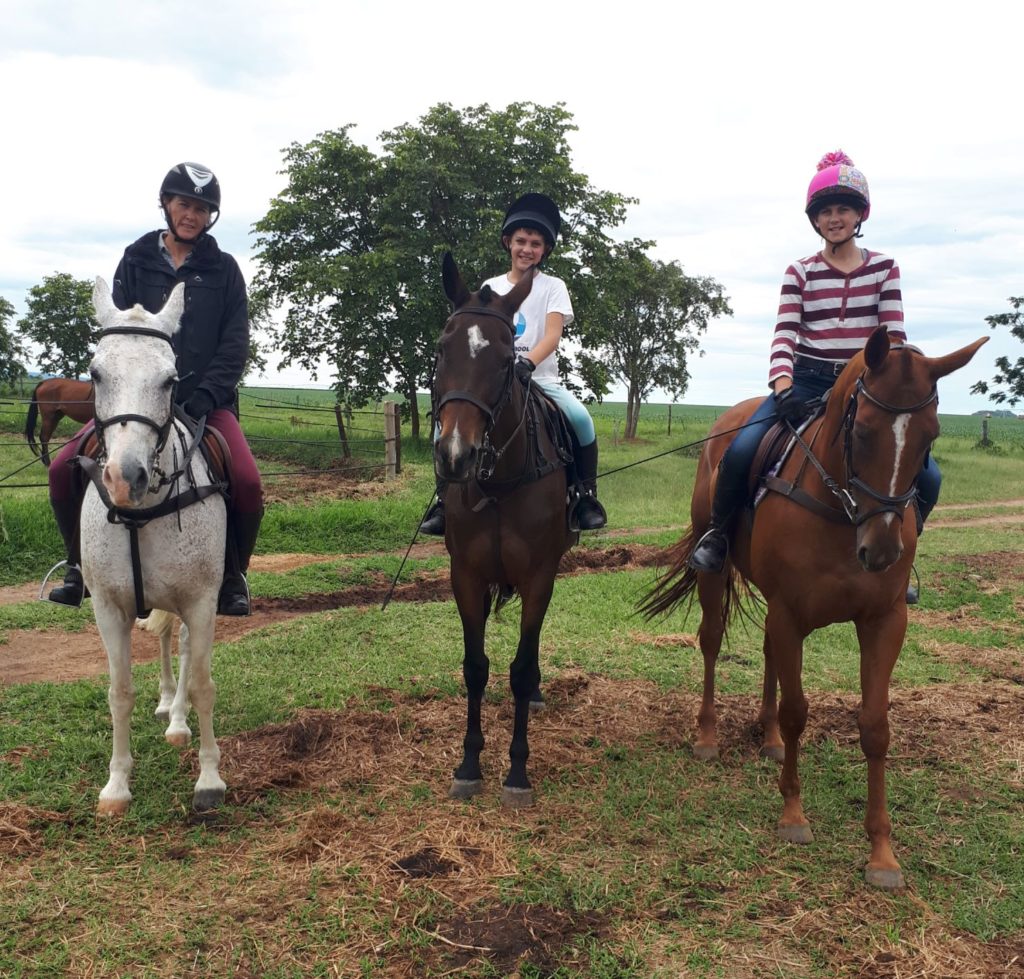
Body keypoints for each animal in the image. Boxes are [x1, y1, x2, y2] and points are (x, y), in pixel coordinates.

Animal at [82, 278, 229, 815]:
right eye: (96, 374)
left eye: (169, 380)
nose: (126, 479)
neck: (141, 515)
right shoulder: (108, 607)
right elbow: (119, 692)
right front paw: (116, 786)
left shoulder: (202, 600)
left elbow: (204, 684)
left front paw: (208, 779)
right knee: (167, 641)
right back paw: (168, 704)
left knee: (183, 646)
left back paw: (179, 722)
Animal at [432, 253, 577, 811]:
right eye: (442, 349)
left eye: (501, 359)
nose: (455, 456)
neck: (499, 481)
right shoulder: (466, 576)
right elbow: (476, 667)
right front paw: (469, 765)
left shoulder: (540, 575)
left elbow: (521, 668)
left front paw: (517, 772)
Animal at [643, 327, 987, 888]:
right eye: (862, 430)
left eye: (931, 437)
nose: (883, 550)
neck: (843, 514)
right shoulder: (790, 613)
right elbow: (798, 710)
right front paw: (793, 816)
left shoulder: (884, 622)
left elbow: (875, 726)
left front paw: (882, 853)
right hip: (716, 574)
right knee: (712, 641)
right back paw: (709, 736)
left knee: (766, 653)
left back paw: (769, 739)